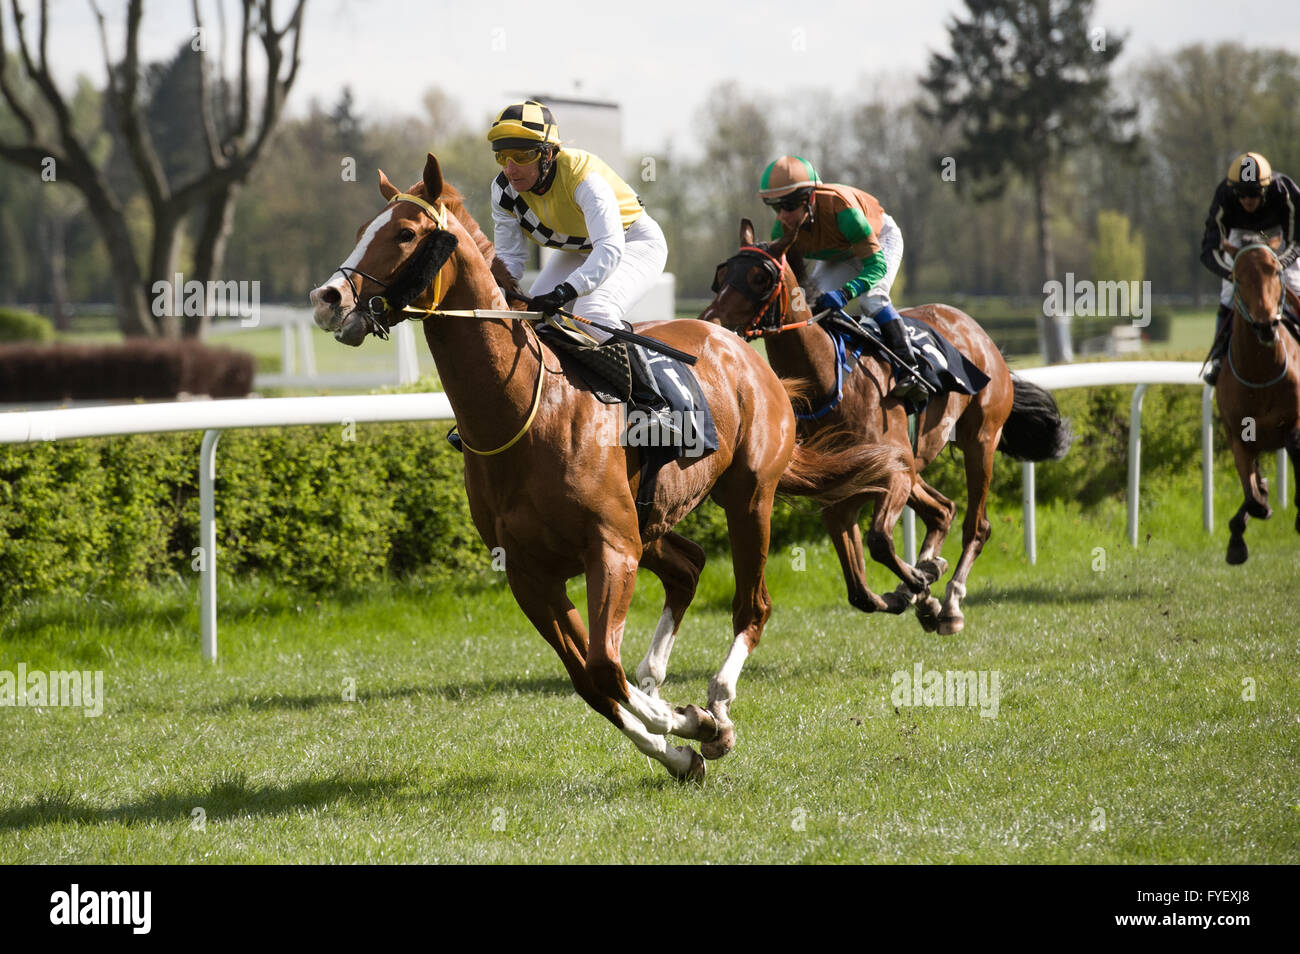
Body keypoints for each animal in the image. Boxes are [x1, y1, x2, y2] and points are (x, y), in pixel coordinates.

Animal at [312, 158, 904, 785]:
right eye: (362, 231)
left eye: (404, 234)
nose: (327, 298)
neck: (526, 411)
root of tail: (738, 345)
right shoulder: (530, 573)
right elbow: (591, 680)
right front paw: (679, 745)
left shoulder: (610, 549)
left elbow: (602, 664)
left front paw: (693, 722)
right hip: (652, 520)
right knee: (688, 569)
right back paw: (667, 683)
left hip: (747, 498)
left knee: (753, 606)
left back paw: (718, 702)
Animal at [707, 217, 1071, 634]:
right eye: (721, 275)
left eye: (759, 277)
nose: (711, 321)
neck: (829, 383)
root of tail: (976, 330)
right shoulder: (840, 496)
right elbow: (860, 593)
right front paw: (915, 590)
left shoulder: (893, 474)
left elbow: (880, 540)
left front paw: (922, 585)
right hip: (914, 466)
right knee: (942, 510)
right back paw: (928, 577)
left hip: (979, 439)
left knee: (975, 525)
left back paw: (951, 603)